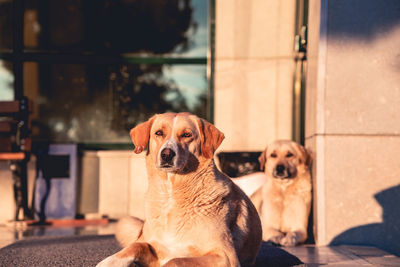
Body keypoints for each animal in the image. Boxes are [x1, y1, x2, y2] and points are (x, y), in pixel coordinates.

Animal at [97, 112, 262, 266]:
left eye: (186, 135)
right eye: (159, 133)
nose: (166, 154)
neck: (171, 195)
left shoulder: (225, 256)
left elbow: (176, 260)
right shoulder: (152, 246)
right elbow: (136, 246)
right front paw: (109, 261)